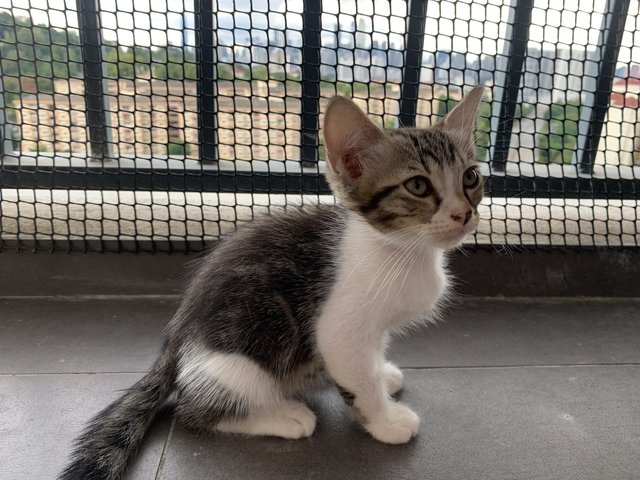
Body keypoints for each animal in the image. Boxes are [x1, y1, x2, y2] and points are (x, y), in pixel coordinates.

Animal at [58, 86, 484, 480]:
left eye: (471, 177)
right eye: (418, 186)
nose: (463, 214)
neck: (405, 250)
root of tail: (173, 345)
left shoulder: (374, 328)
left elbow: (371, 360)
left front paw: (383, 374)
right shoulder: (339, 330)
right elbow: (359, 381)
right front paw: (387, 421)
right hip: (247, 352)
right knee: (194, 410)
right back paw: (284, 416)